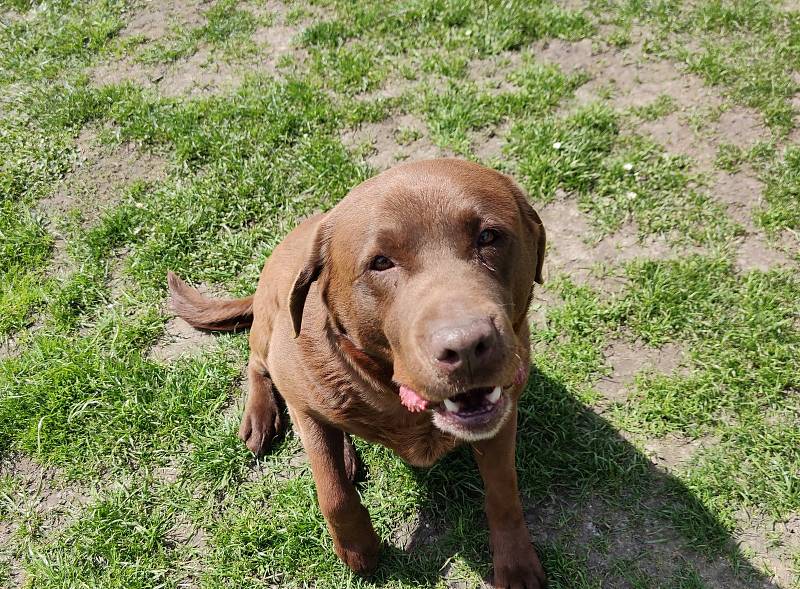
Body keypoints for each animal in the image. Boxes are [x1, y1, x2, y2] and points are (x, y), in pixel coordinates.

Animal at [166, 158, 548, 584]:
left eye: (488, 236)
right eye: (380, 262)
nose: (466, 346)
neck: (392, 393)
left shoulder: (502, 415)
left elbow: (504, 491)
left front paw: (515, 563)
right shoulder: (301, 394)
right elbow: (332, 491)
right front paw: (358, 548)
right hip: (269, 330)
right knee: (257, 362)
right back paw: (264, 417)